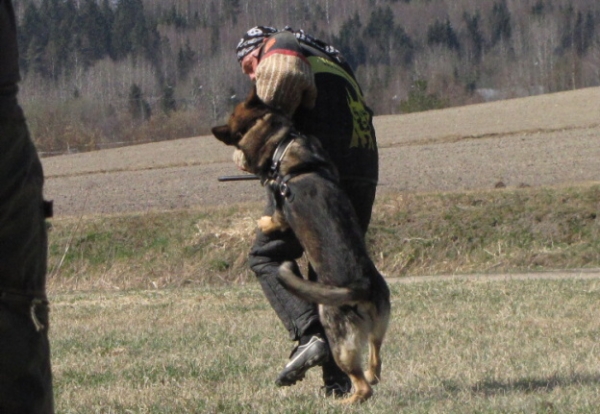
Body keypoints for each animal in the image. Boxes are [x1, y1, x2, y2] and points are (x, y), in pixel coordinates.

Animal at [213, 88, 392, 404]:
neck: (283, 145)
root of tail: (362, 288)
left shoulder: (281, 209)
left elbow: (274, 219)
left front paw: (263, 222)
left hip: (339, 338)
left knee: (362, 386)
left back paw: (347, 401)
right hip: (379, 326)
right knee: (376, 359)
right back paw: (371, 374)